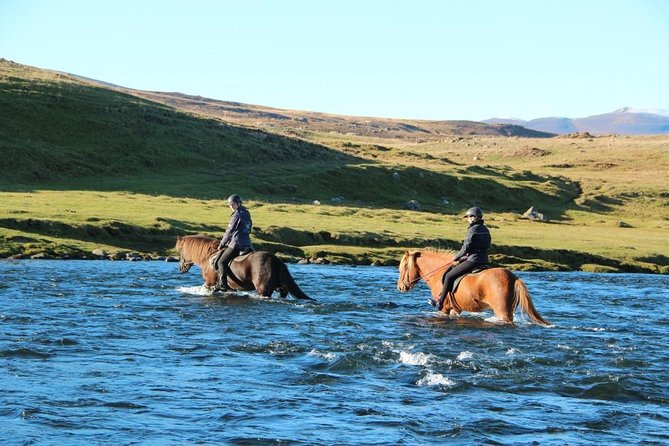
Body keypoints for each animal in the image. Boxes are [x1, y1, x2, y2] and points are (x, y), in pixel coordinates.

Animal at [175, 235, 314, 301]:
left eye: (180, 250)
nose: (181, 268)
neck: (208, 257)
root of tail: (277, 261)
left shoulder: (209, 283)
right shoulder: (229, 289)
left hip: (263, 290)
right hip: (280, 287)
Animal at [397, 249, 550, 325]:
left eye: (403, 268)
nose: (400, 287)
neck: (438, 273)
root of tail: (514, 278)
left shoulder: (444, 309)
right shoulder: (455, 309)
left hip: (503, 312)